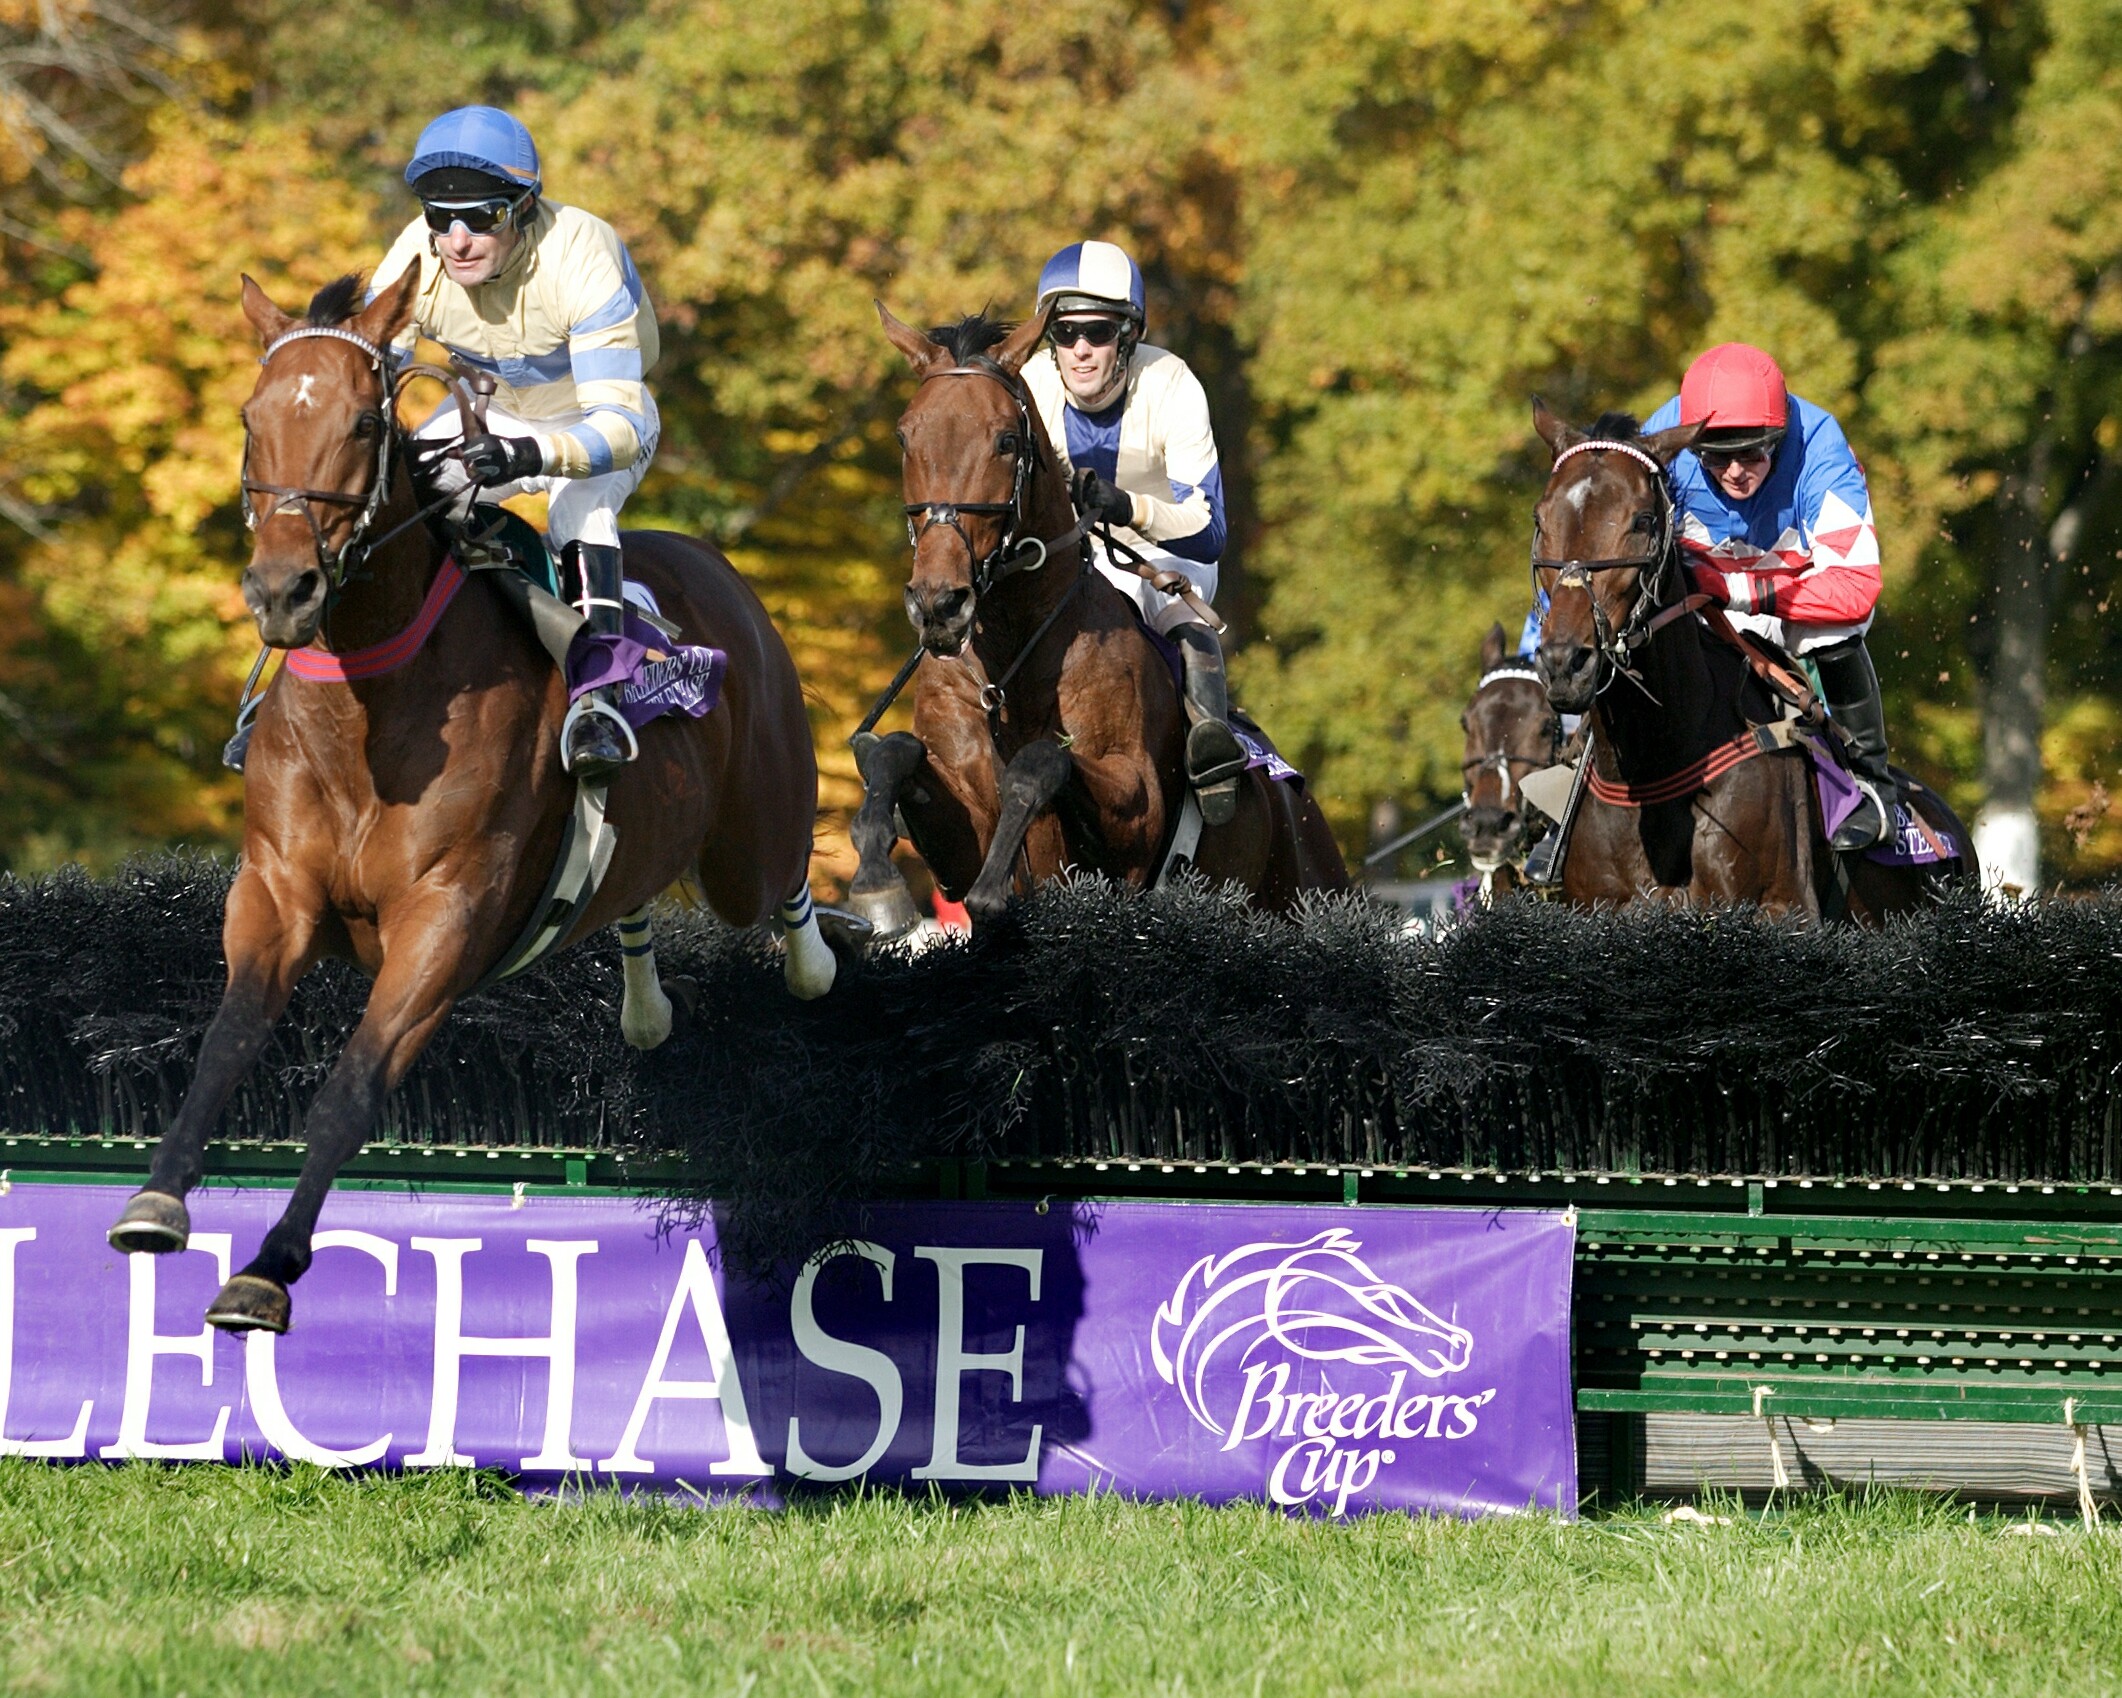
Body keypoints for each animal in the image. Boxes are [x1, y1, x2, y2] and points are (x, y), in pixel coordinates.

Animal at [105, 268, 836, 1324]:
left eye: (366, 421)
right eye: (251, 418)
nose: (282, 590)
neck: (367, 715)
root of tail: (718, 569)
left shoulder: (444, 917)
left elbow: (353, 1086)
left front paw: (268, 1267)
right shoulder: (275, 893)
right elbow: (225, 1042)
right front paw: (155, 1200)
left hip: (749, 839)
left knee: (784, 881)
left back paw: (814, 958)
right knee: (634, 894)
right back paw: (646, 1005)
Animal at [844, 312, 1341, 933]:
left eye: (1006, 441)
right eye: (905, 437)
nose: (938, 603)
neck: (1008, 662)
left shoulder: (1135, 811)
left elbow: (1041, 761)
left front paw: (994, 887)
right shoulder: (959, 834)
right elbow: (893, 752)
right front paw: (876, 883)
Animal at [1527, 405, 1969, 921]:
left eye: (1641, 520)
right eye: (1541, 518)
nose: (1565, 663)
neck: (1658, 762)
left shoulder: (1780, 907)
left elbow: (1851, 575)